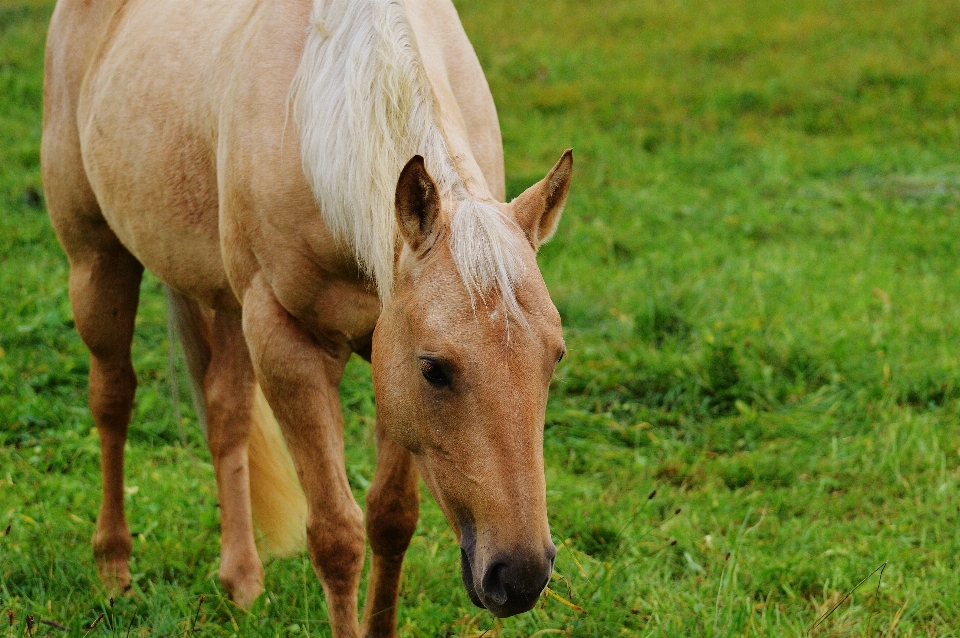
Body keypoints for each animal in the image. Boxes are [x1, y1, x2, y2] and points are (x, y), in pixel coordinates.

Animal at [43, 0, 568, 636]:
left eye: (554, 359)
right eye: (434, 369)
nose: (520, 576)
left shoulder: (385, 350)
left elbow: (392, 519)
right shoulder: (288, 344)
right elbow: (337, 538)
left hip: (226, 302)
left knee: (226, 415)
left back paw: (242, 579)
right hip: (97, 263)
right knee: (112, 398)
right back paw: (114, 568)